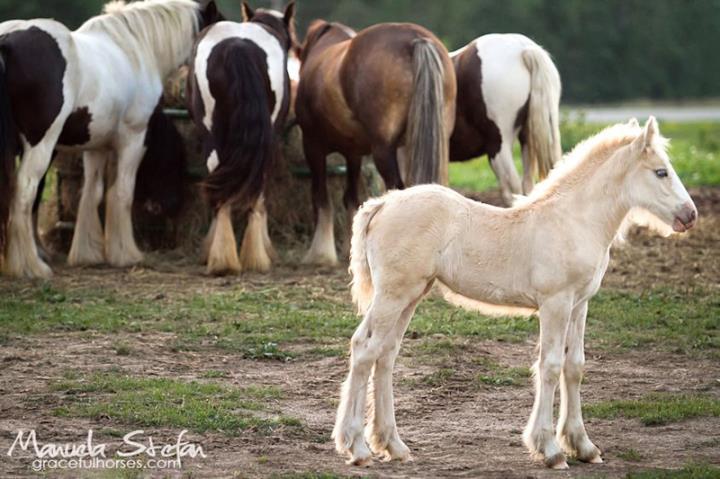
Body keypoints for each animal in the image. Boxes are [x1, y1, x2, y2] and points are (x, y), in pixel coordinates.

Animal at [0, 0, 222, 280]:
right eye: (174, 158)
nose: (172, 206)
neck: (136, 48)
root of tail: (7, 40)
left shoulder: (96, 147)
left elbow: (92, 194)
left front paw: (88, 253)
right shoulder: (133, 140)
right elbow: (122, 194)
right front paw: (126, 254)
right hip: (41, 146)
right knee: (25, 194)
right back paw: (31, 266)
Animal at [294, 20, 456, 266]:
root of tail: (415, 39)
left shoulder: (313, 146)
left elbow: (321, 197)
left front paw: (320, 253)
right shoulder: (353, 154)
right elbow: (350, 197)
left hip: (383, 150)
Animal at [336, 118, 696, 470]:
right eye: (661, 171)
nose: (690, 215)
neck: (573, 222)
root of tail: (382, 204)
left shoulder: (579, 305)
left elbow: (574, 366)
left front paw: (583, 446)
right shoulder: (555, 303)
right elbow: (550, 365)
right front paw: (550, 450)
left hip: (410, 296)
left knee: (385, 354)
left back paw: (393, 446)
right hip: (393, 295)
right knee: (365, 349)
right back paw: (358, 448)